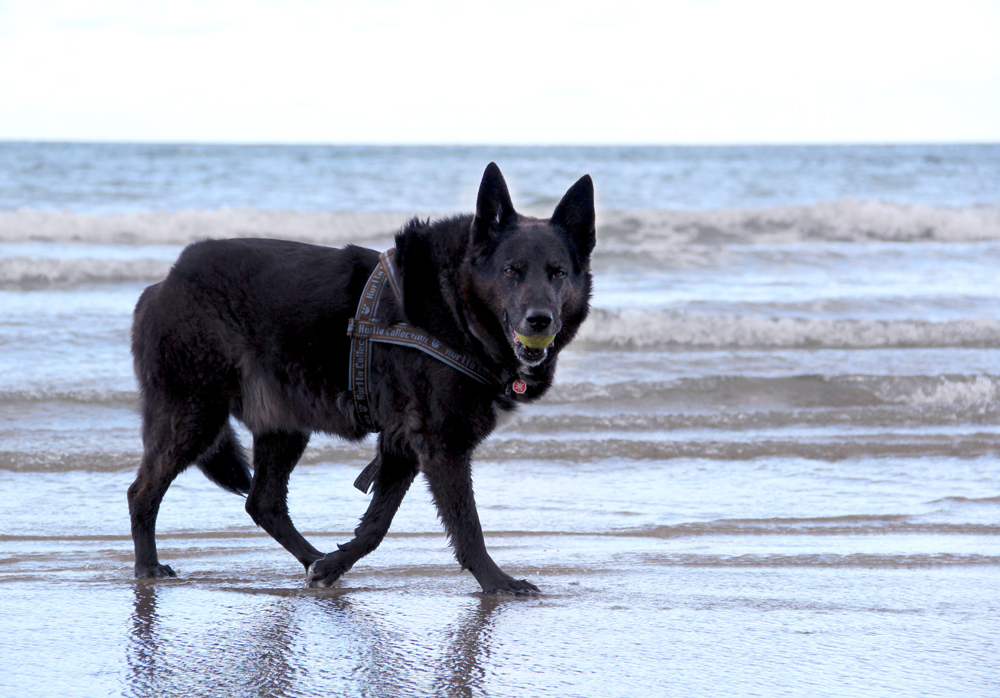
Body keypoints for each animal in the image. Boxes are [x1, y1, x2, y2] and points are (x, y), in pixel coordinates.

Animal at [125, 160, 592, 588]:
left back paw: (311, 558)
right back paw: (148, 566)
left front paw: (332, 565)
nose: (540, 321)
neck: (455, 307)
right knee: (142, 492)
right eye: (511, 270)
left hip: (283, 426)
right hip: (193, 417)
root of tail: (164, 284)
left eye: (557, 273)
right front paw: (496, 582)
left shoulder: (401, 447)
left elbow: (376, 525)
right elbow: (467, 525)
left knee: (264, 504)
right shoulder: (441, 446)